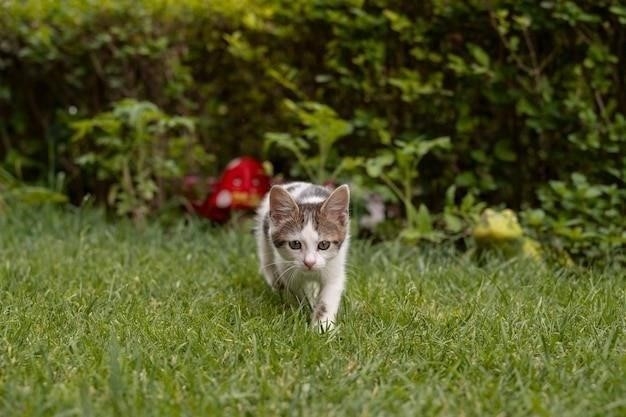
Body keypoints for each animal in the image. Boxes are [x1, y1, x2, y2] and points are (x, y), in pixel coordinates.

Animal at [255, 180, 352, 330]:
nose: (309, 262)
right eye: (295, 244)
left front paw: (322, 326)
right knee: (267, 262)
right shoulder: (287, 269)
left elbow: (328, 296)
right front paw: (308, 305)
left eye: (324, 244)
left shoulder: (334, 267)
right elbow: (298, 289)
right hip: (264, 236)